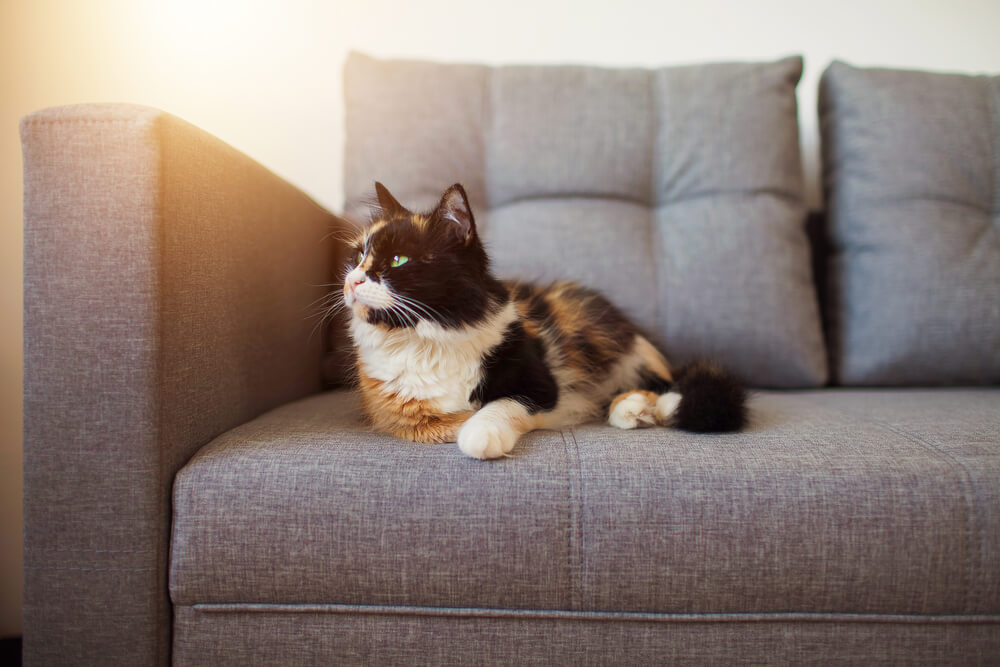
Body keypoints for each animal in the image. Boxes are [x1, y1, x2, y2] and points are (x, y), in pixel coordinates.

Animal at [340, 183, 748, 460]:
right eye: (358, 257)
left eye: (398, 260)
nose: (353, 280)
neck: (424, 339)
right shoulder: (402, 416)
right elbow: (445, 420)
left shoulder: (539, 385)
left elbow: (498, 406)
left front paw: (479, 437)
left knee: (665, 385)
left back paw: (645, 409)